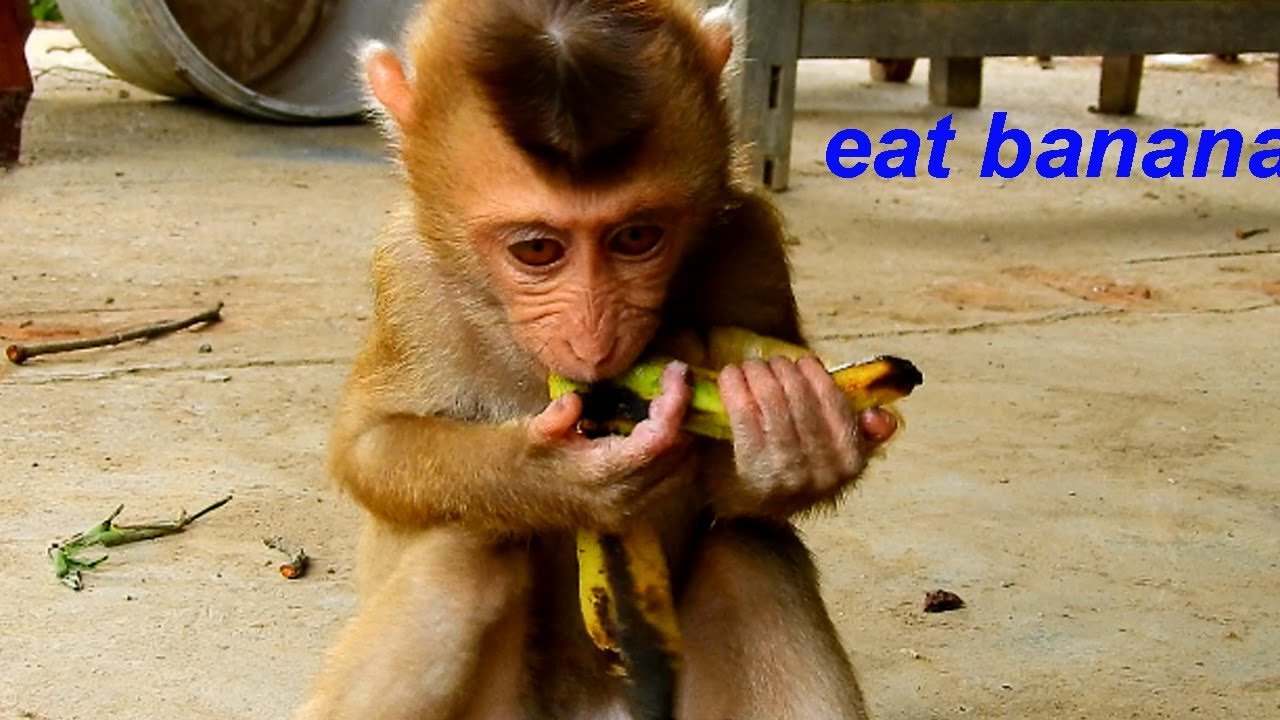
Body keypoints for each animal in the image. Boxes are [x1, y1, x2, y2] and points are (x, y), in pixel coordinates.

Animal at [294, 1, 899, 718]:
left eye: (636, 237)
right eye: (536, 250)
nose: (593, 341)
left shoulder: (749, 240)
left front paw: (793, 434)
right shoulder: (409, 274)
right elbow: (370, 445)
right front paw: (555, 476)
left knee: (751, 551)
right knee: (469, 552)